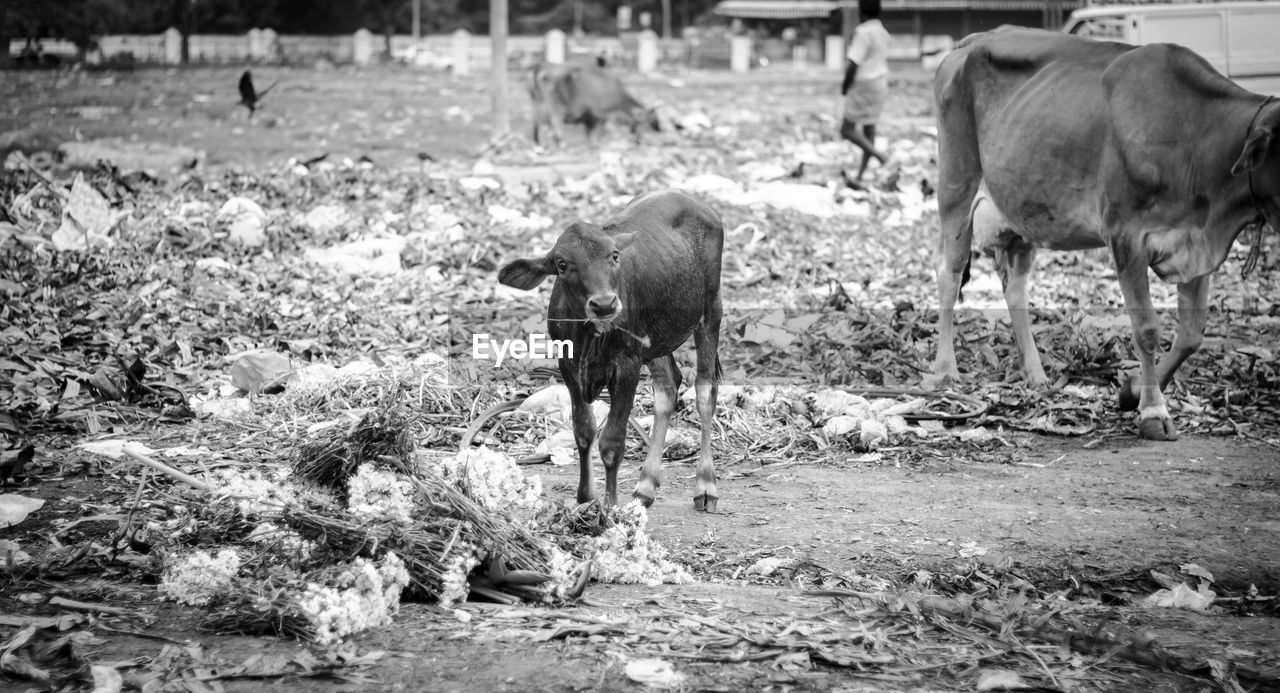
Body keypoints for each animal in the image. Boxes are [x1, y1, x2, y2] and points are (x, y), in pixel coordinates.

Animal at [496, 192, 727, 509]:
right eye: (561, 264)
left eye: (614, 256)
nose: (605, 304)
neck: (590, 338)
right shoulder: (568, 365)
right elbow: (583, 431)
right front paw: (585, 497)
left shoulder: (627, 365)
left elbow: (612, 441)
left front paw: (610, 506)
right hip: (654, 340)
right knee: (667, 386)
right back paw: (646, 485)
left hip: (711, 310)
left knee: (705, 391)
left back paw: (705, 485)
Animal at [527, 62, 660, 147]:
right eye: (646, 122)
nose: (640, 141)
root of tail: (542, 66)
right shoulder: (600, 112)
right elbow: (600, 128)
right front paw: (599, 142)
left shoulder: (594, 114)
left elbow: (592, 129)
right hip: (557, 106)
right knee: (554, 121)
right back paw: (561, 142)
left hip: (538, 102)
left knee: (538, 122)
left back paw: (540, 142)